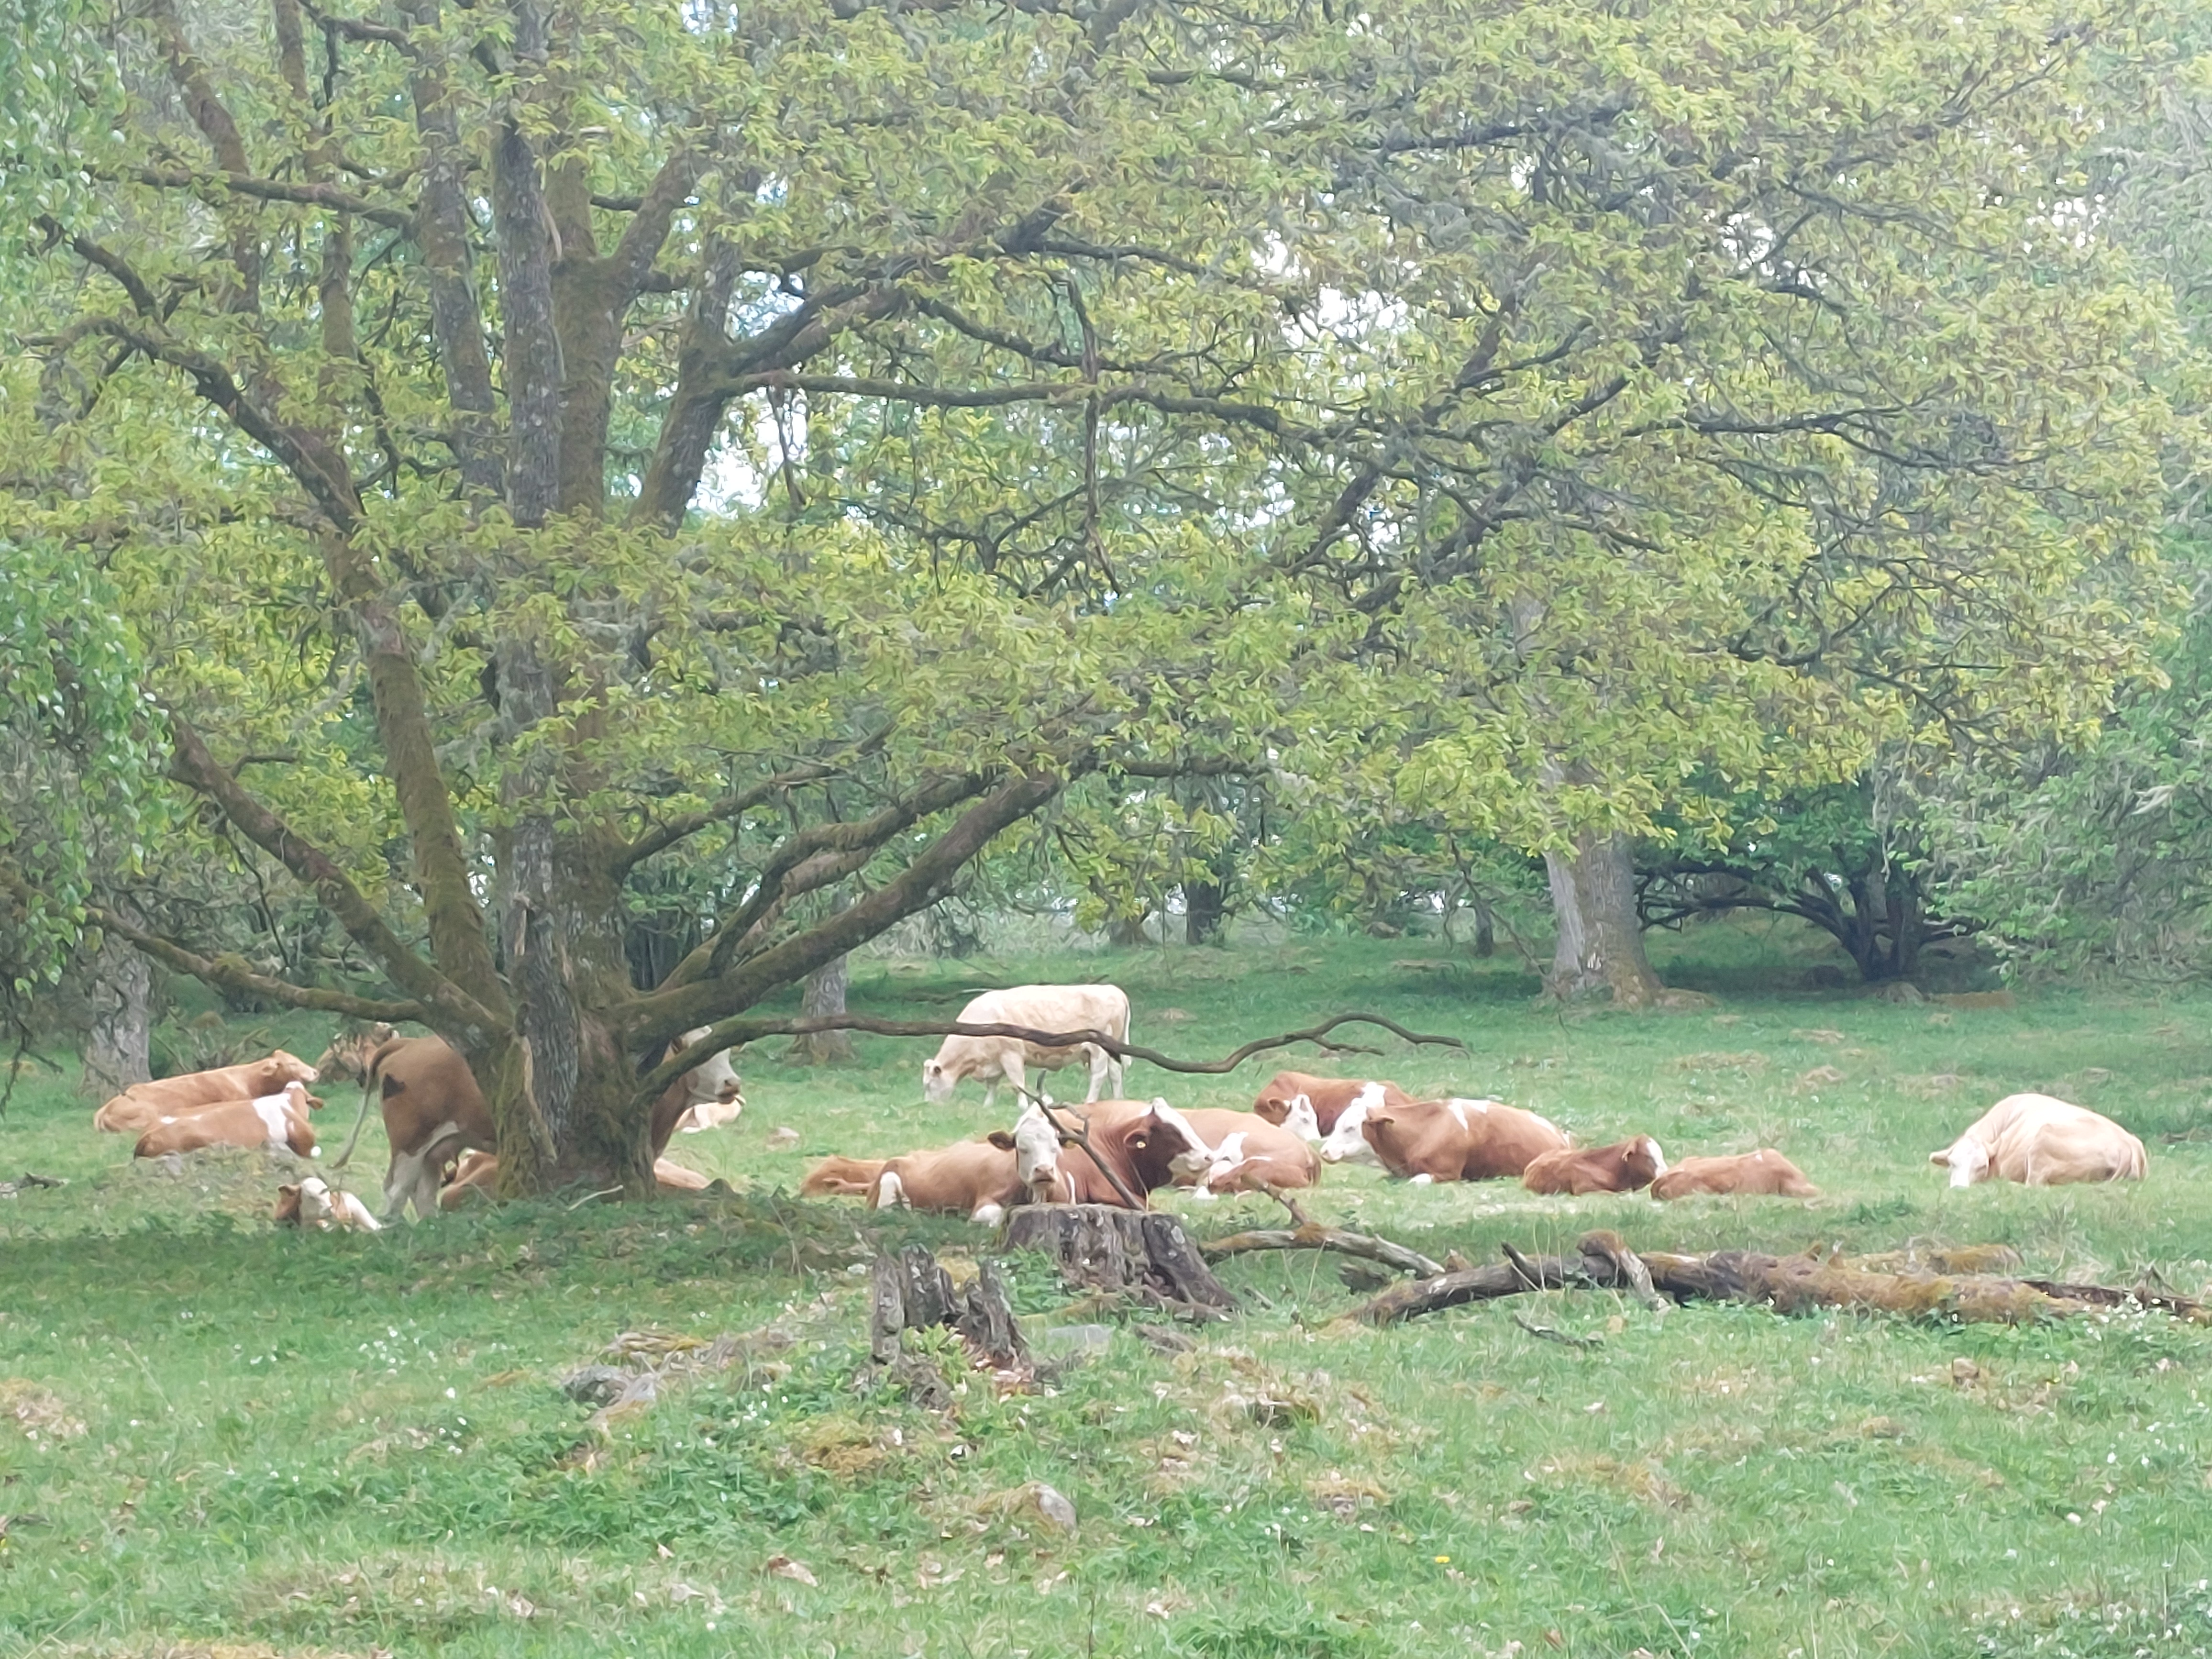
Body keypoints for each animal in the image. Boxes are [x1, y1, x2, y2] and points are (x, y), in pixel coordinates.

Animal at [922, 984, 1131, 1110]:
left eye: (929, 1084)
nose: (928, 1106)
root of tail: (1112, 989)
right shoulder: (995, 1060)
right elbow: (992, 1084)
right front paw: (988, 1106)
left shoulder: (1011, 1055)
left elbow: (1017, 1084)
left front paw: (1022, 1107)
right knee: (1115, 1072)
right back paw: (1118, 1100)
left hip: (1098, 1049)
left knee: (1099, 1075)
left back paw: (1089, 1102)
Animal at [1930, 1094, 2147, 1188]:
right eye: (1952, 1163)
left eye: (1982, 1166)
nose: (1959, 1188)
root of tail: (2128, 1145)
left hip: (2043, 1141)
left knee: (2033, 1185)